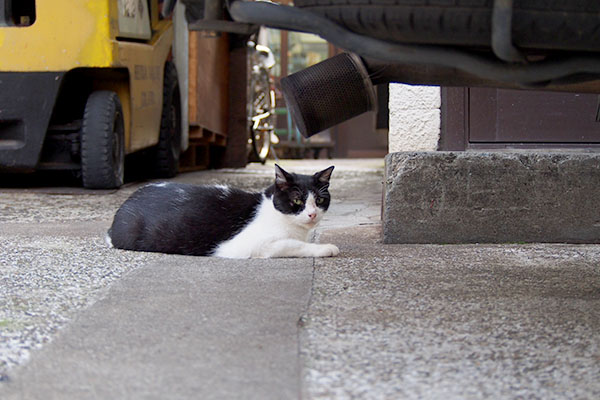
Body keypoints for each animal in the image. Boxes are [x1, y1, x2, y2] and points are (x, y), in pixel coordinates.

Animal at [106, 164, 340, 258]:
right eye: (297, 200)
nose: (312, 214)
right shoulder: (252, 245)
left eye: (320, 200)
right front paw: (325, 248)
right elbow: (293, 245)